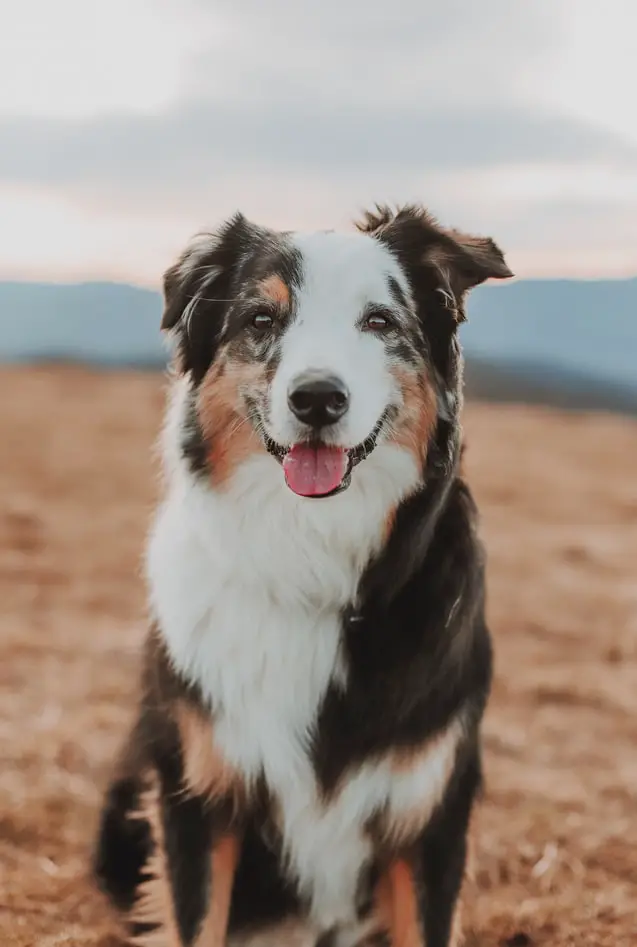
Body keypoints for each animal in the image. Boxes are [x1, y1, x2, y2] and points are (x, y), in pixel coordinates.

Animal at [93, 206, 512, 947]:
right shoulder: (197, 795)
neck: (310, 556)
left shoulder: (428, 814)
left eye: (379, 320)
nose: (318, 398)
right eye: (261, 318)